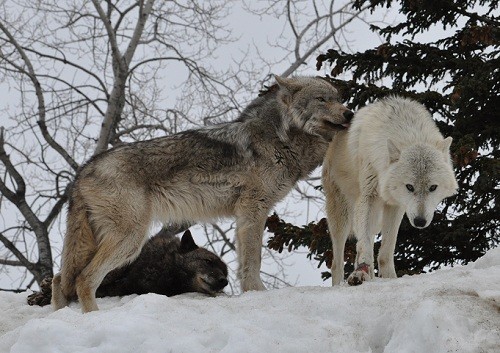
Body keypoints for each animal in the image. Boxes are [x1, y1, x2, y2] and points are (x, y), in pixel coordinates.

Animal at [29, 228, 229, 306]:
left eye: (225, 272)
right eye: (208, 262)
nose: (224, 281)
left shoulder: (127, 287)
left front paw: (44, 297)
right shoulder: (123, 265)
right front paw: (42, 294)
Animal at [52, 75, 354, 310]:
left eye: (339, 98)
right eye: (322, 99)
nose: (350, 113)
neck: (281, 138)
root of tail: (83, 170)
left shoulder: (244, 216)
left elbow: (245, 262)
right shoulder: (253, 210)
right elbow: (253, 261)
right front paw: (258, 294)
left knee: (59, 279)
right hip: (130, 239)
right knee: (84, 279)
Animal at [322, 96, 458, 286]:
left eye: (432, 187)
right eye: (409, 187)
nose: (420, 222)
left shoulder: (397, 205)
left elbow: (385, 253)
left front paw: (389, 278)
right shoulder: (369, 197)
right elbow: (364, 247)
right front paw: (360, 273)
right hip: (342, 217)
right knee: (337, 263)